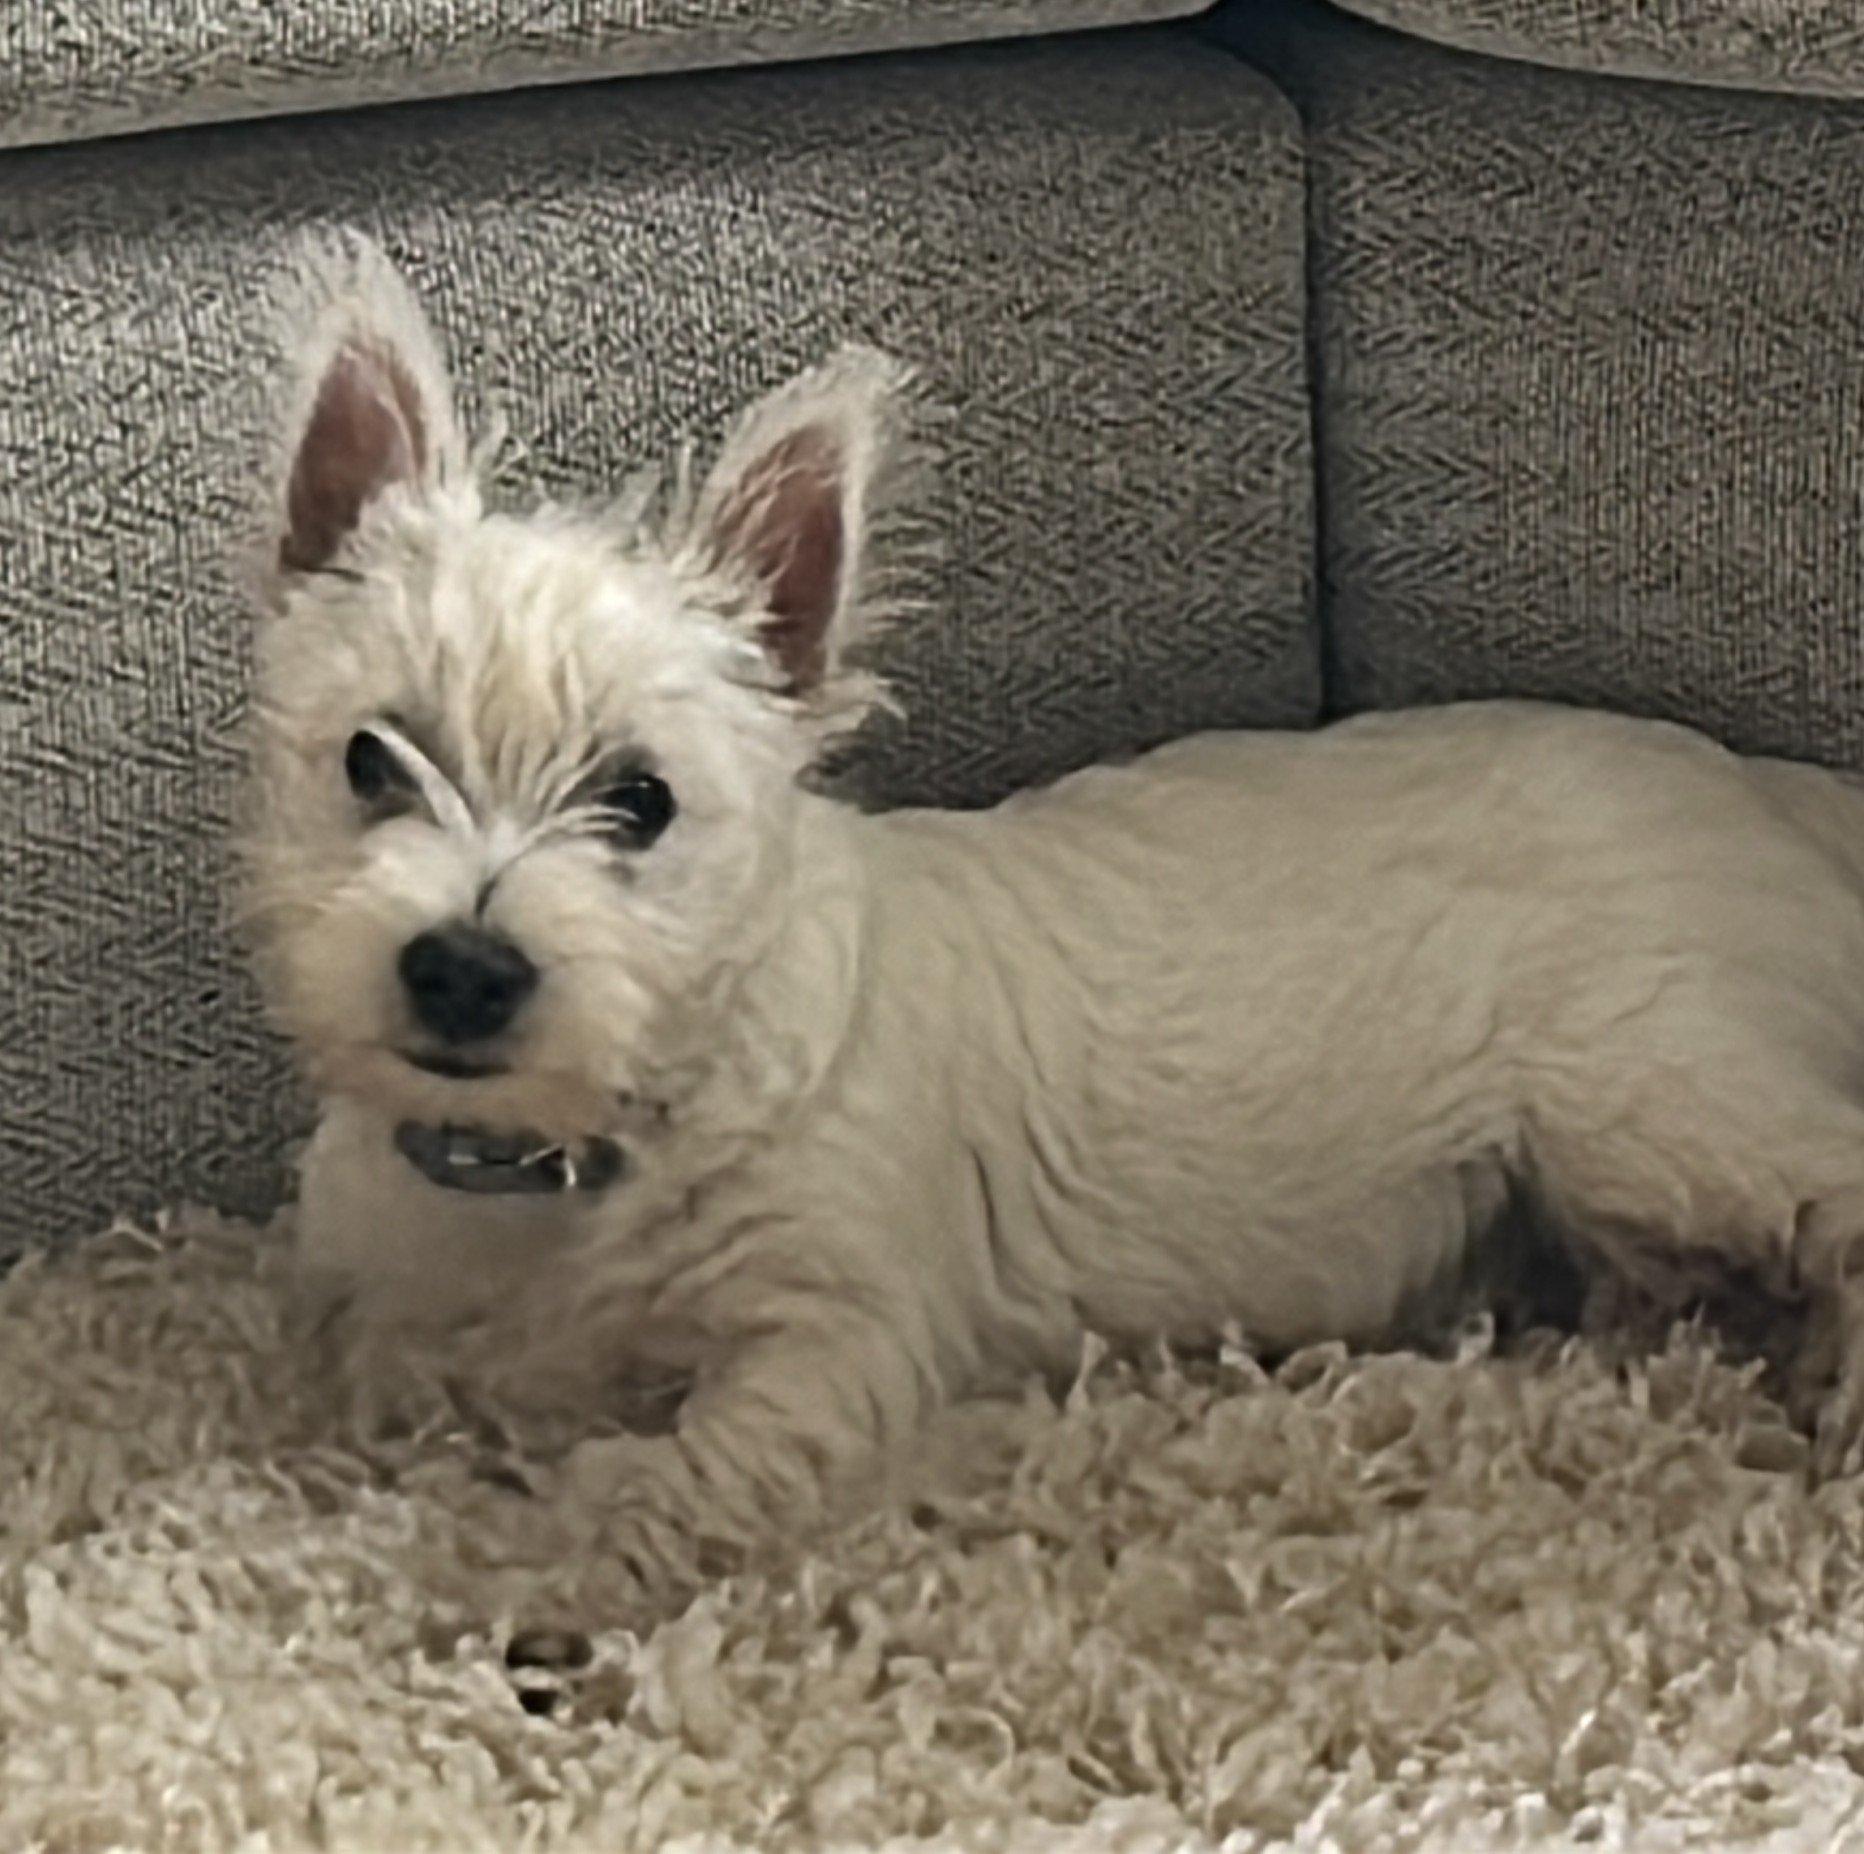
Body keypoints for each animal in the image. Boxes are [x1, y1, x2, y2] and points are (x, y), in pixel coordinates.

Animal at [239, 229, 1864, 1596]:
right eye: (372, 759)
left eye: (639, 801)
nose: (461, 970)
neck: (575, 1151)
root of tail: (1776, 789)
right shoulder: (380, 1307)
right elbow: (405, 1366)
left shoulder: (843, 1334)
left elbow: (690, 1464)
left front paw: (549, 1566)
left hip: (1649, 1100)